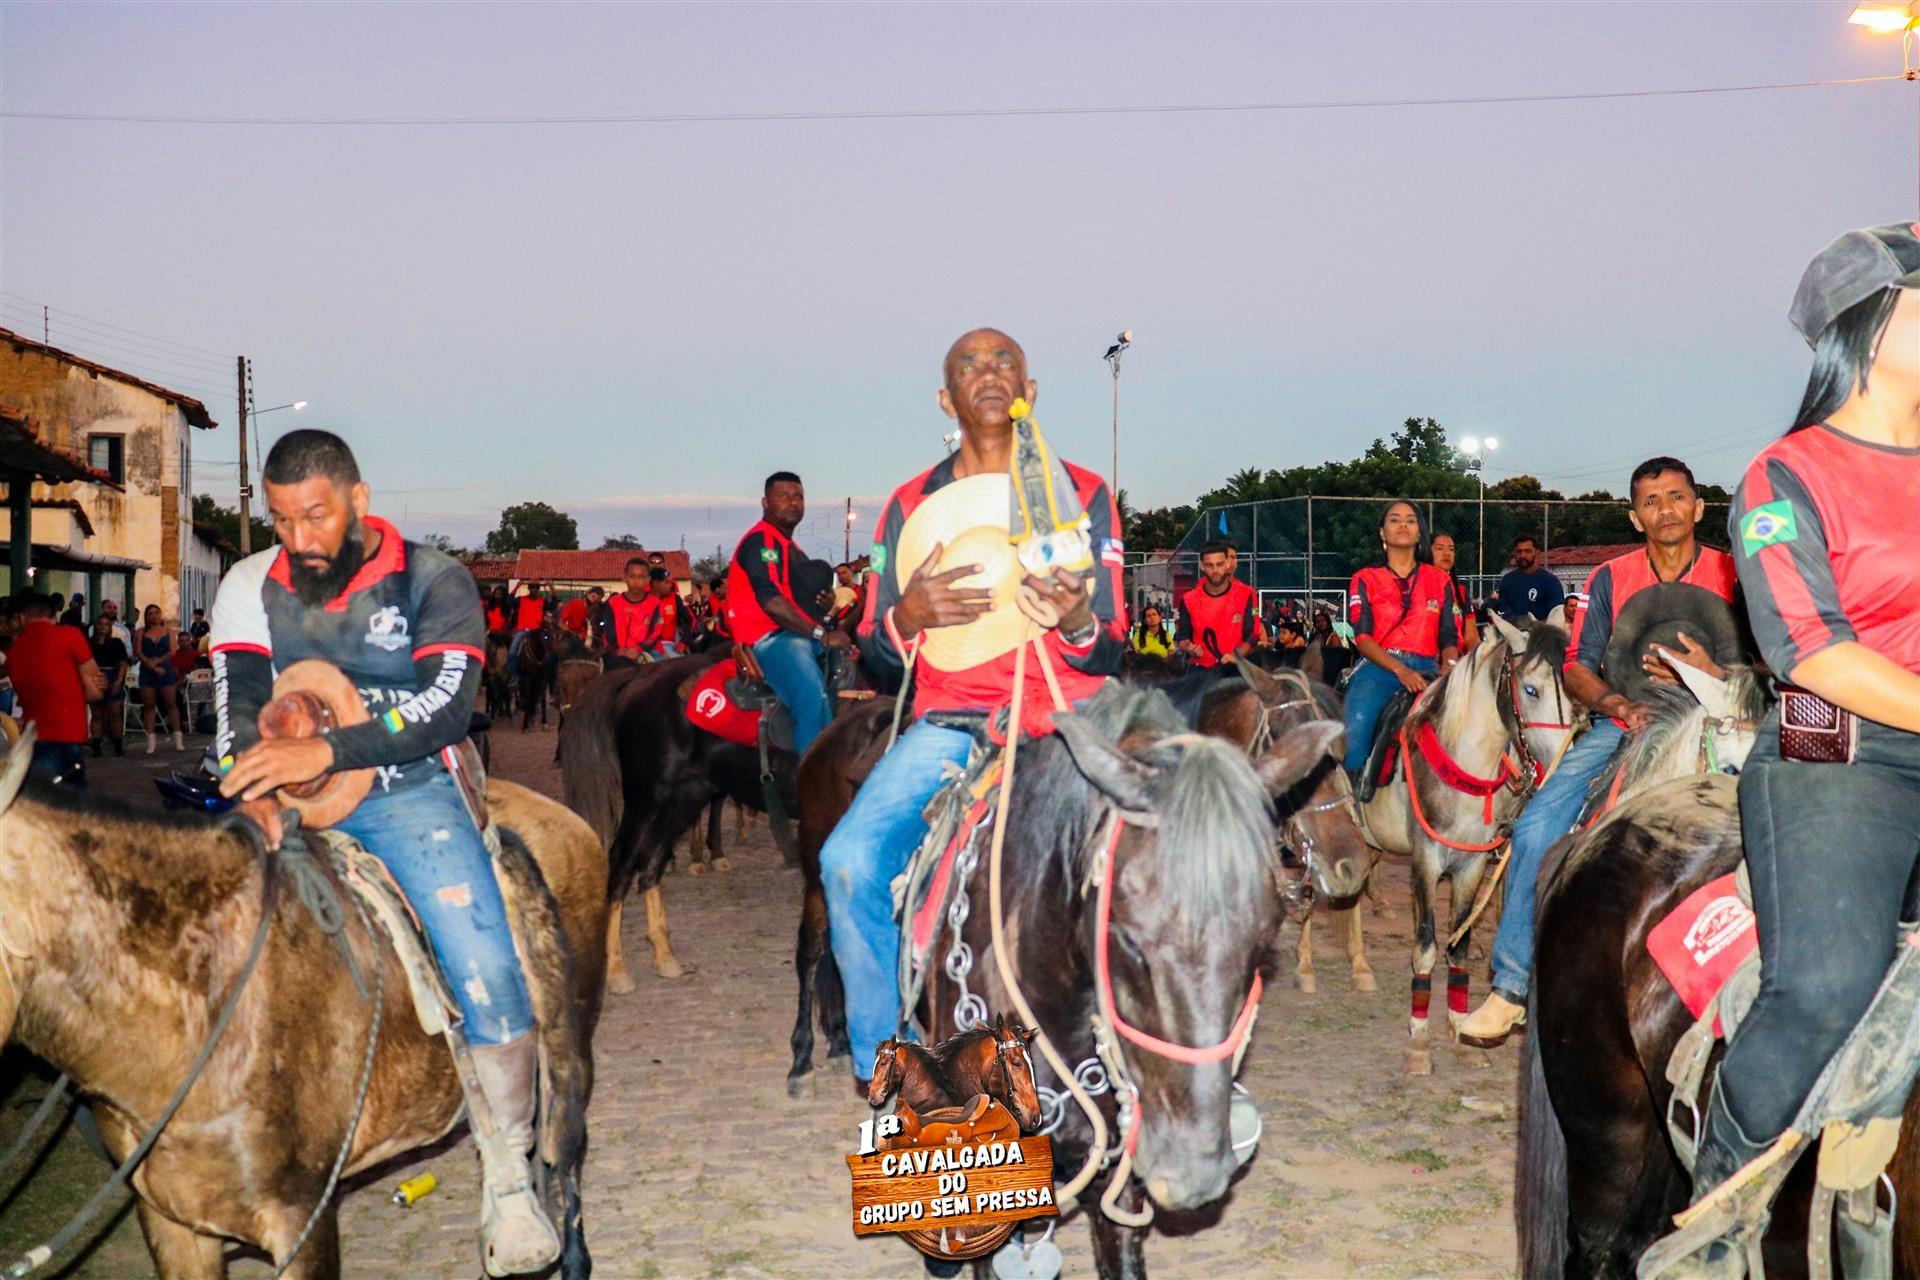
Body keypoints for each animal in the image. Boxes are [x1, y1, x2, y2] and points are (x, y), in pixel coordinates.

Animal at [792, 681, 1345, 1276]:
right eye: (1128, 938)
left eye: (1263, 938)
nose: (1191, 1169)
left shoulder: (1118, 1175)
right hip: (818, 884)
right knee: (812, 954)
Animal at [1354, 610, 1578, 1075]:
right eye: (1531, 689)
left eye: (1569, 688)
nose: (1562, 759)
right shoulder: (1425, 859)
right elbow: (1425, 949)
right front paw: (1419, 1045)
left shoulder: (1472, 865)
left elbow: (1457, 947)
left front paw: (1460, 1033)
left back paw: (1359, 967)